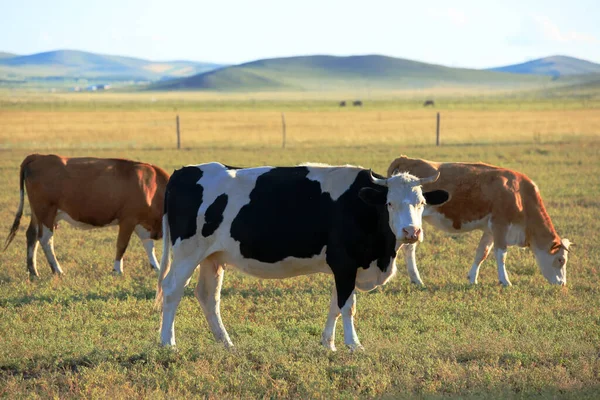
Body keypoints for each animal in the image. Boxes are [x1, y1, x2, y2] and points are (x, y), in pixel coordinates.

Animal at [4, 154, 169, 278]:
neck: (152, 186)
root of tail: (38, 156)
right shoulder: (128, 219)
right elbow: (122, 245)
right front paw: (117, 270)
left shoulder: (141, 222)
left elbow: (149, 245)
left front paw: (157, 268)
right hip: (46, 212)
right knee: (45, 239)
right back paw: (57, 270)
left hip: (37, 213)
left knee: (31, 235)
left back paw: (33, 272)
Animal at [157, 162, 448, 350]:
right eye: (390, 203)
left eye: (421, 203)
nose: (411, 231)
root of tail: (183, 171)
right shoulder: (345, 263)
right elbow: (348, 306)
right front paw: (353, 344)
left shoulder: (343, 268)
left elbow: (335, 305)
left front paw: (328, 344)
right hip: (187, 252)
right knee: (172, 290)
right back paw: (167, 343)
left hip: (212, 257)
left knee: (208, 296)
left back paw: (226, 343)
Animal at [386, 155, 568, 286]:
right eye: (561, 260)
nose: (562, 283)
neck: (519, 194)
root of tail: (406, 159)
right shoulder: (501, 225)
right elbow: (501, 254)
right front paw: (505, 281)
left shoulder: (490, 230)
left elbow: (482, 253)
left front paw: (472, 278)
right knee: (406, 247)